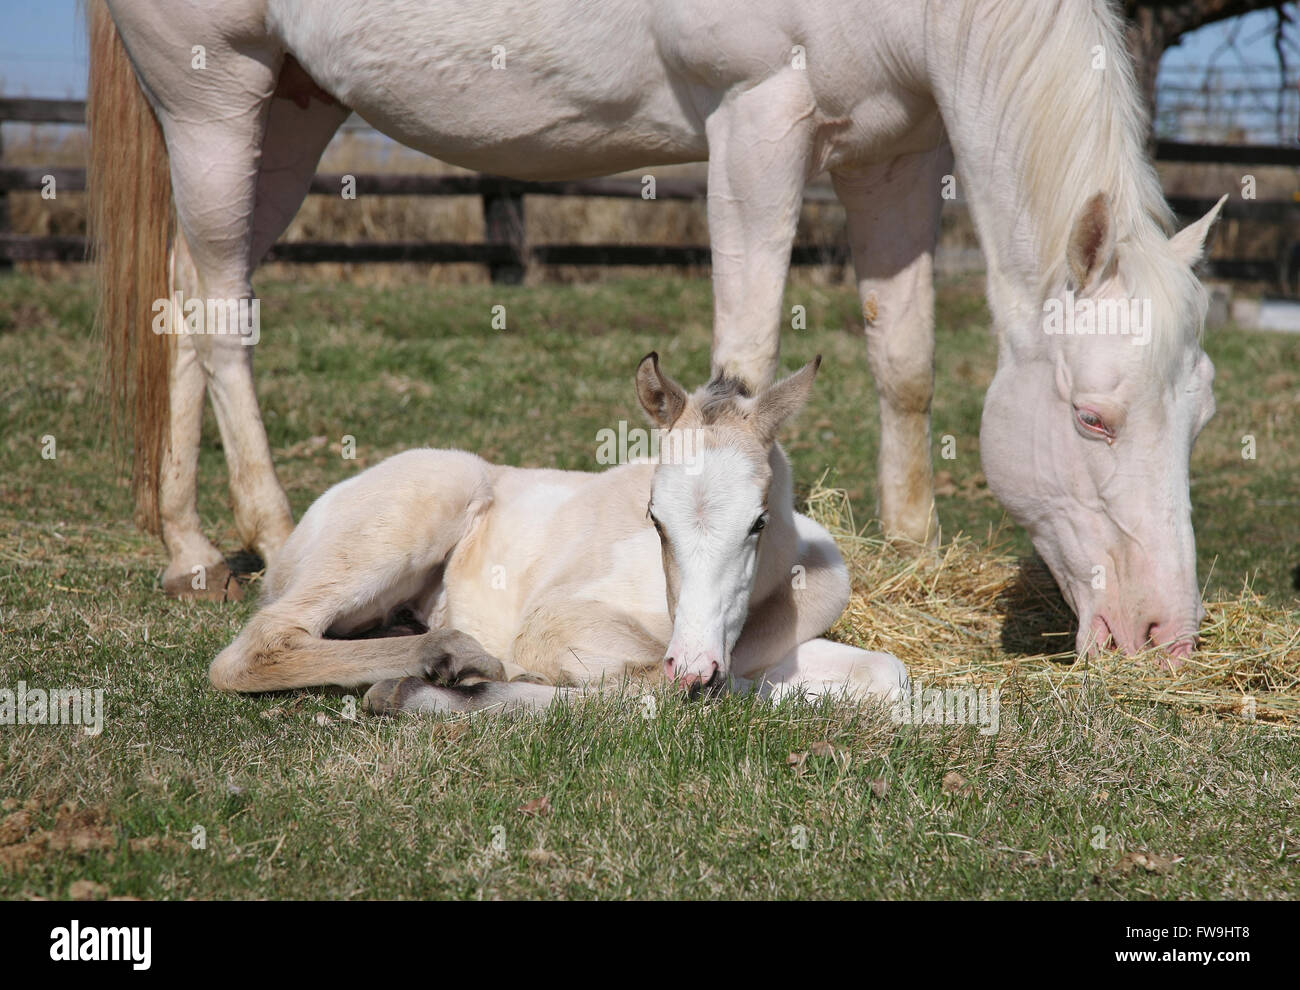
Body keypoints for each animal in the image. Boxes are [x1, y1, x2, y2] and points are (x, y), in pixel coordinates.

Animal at [88, 0, 1225, 660]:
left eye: (1203, 415)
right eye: (1093, 419)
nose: (1164, 633)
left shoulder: (893, 154)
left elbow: (901, 361)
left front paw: (912, 552)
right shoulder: (756, 121)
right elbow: (745, 359)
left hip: (289, 107)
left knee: (188, 289)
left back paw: (190, 548)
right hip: (213, 96)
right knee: (221, 313)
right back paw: (264, 532)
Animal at [208, 354, 910, 712]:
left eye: (758, 521)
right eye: (654, 519)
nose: (694, 667)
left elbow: (887, 674)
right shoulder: (555, 622)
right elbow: (640, 686)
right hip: (418, 507)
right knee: (258, 644)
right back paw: (447, 659)